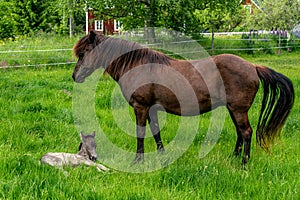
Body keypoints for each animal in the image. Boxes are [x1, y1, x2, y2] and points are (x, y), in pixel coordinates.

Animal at [72, 30, 292, 164]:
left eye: (83, 53)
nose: (75, 76)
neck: (138, 66)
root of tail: (253, 67)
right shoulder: (151, 108)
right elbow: (156, 131)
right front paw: (162, 156)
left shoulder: (140, 107)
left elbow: (141, 133)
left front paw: (137, 160)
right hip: (232, 109)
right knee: (240, 132)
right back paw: (234, 157)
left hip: (238, 110)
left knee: (246, 132)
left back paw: (244, 163)